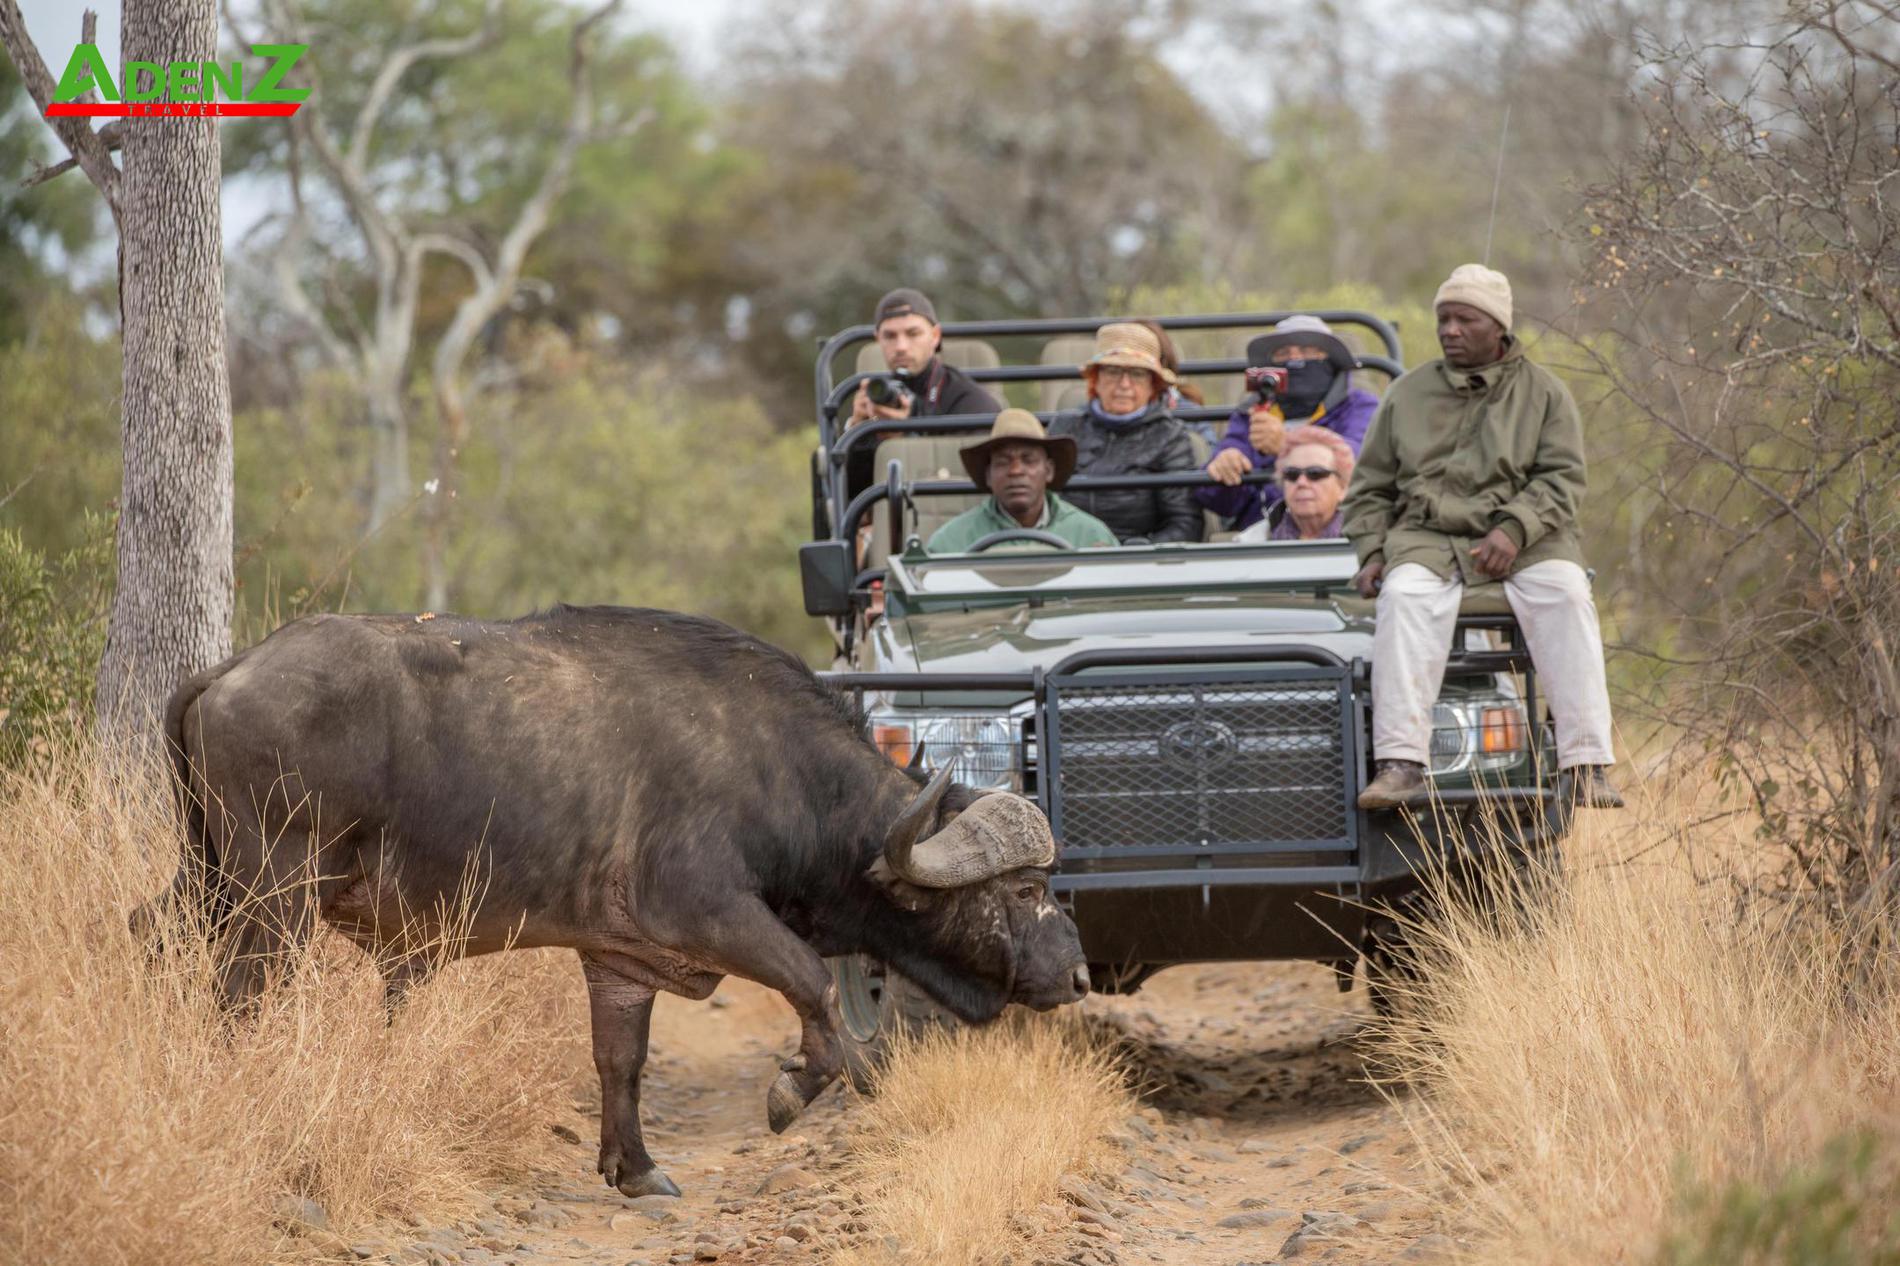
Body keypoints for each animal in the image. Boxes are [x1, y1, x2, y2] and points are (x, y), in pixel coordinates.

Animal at [142, 600, 1094, 1193]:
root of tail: (232, 669)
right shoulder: (712, 915)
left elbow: (620, 1060)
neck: (776, 770)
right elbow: (816, 988)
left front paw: (632, 1167)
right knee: (241, 998)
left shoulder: (621, 960)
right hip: (275, 896)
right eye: (1026, 887)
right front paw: (792, 1093)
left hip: (208, 883)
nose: (1079, 977)